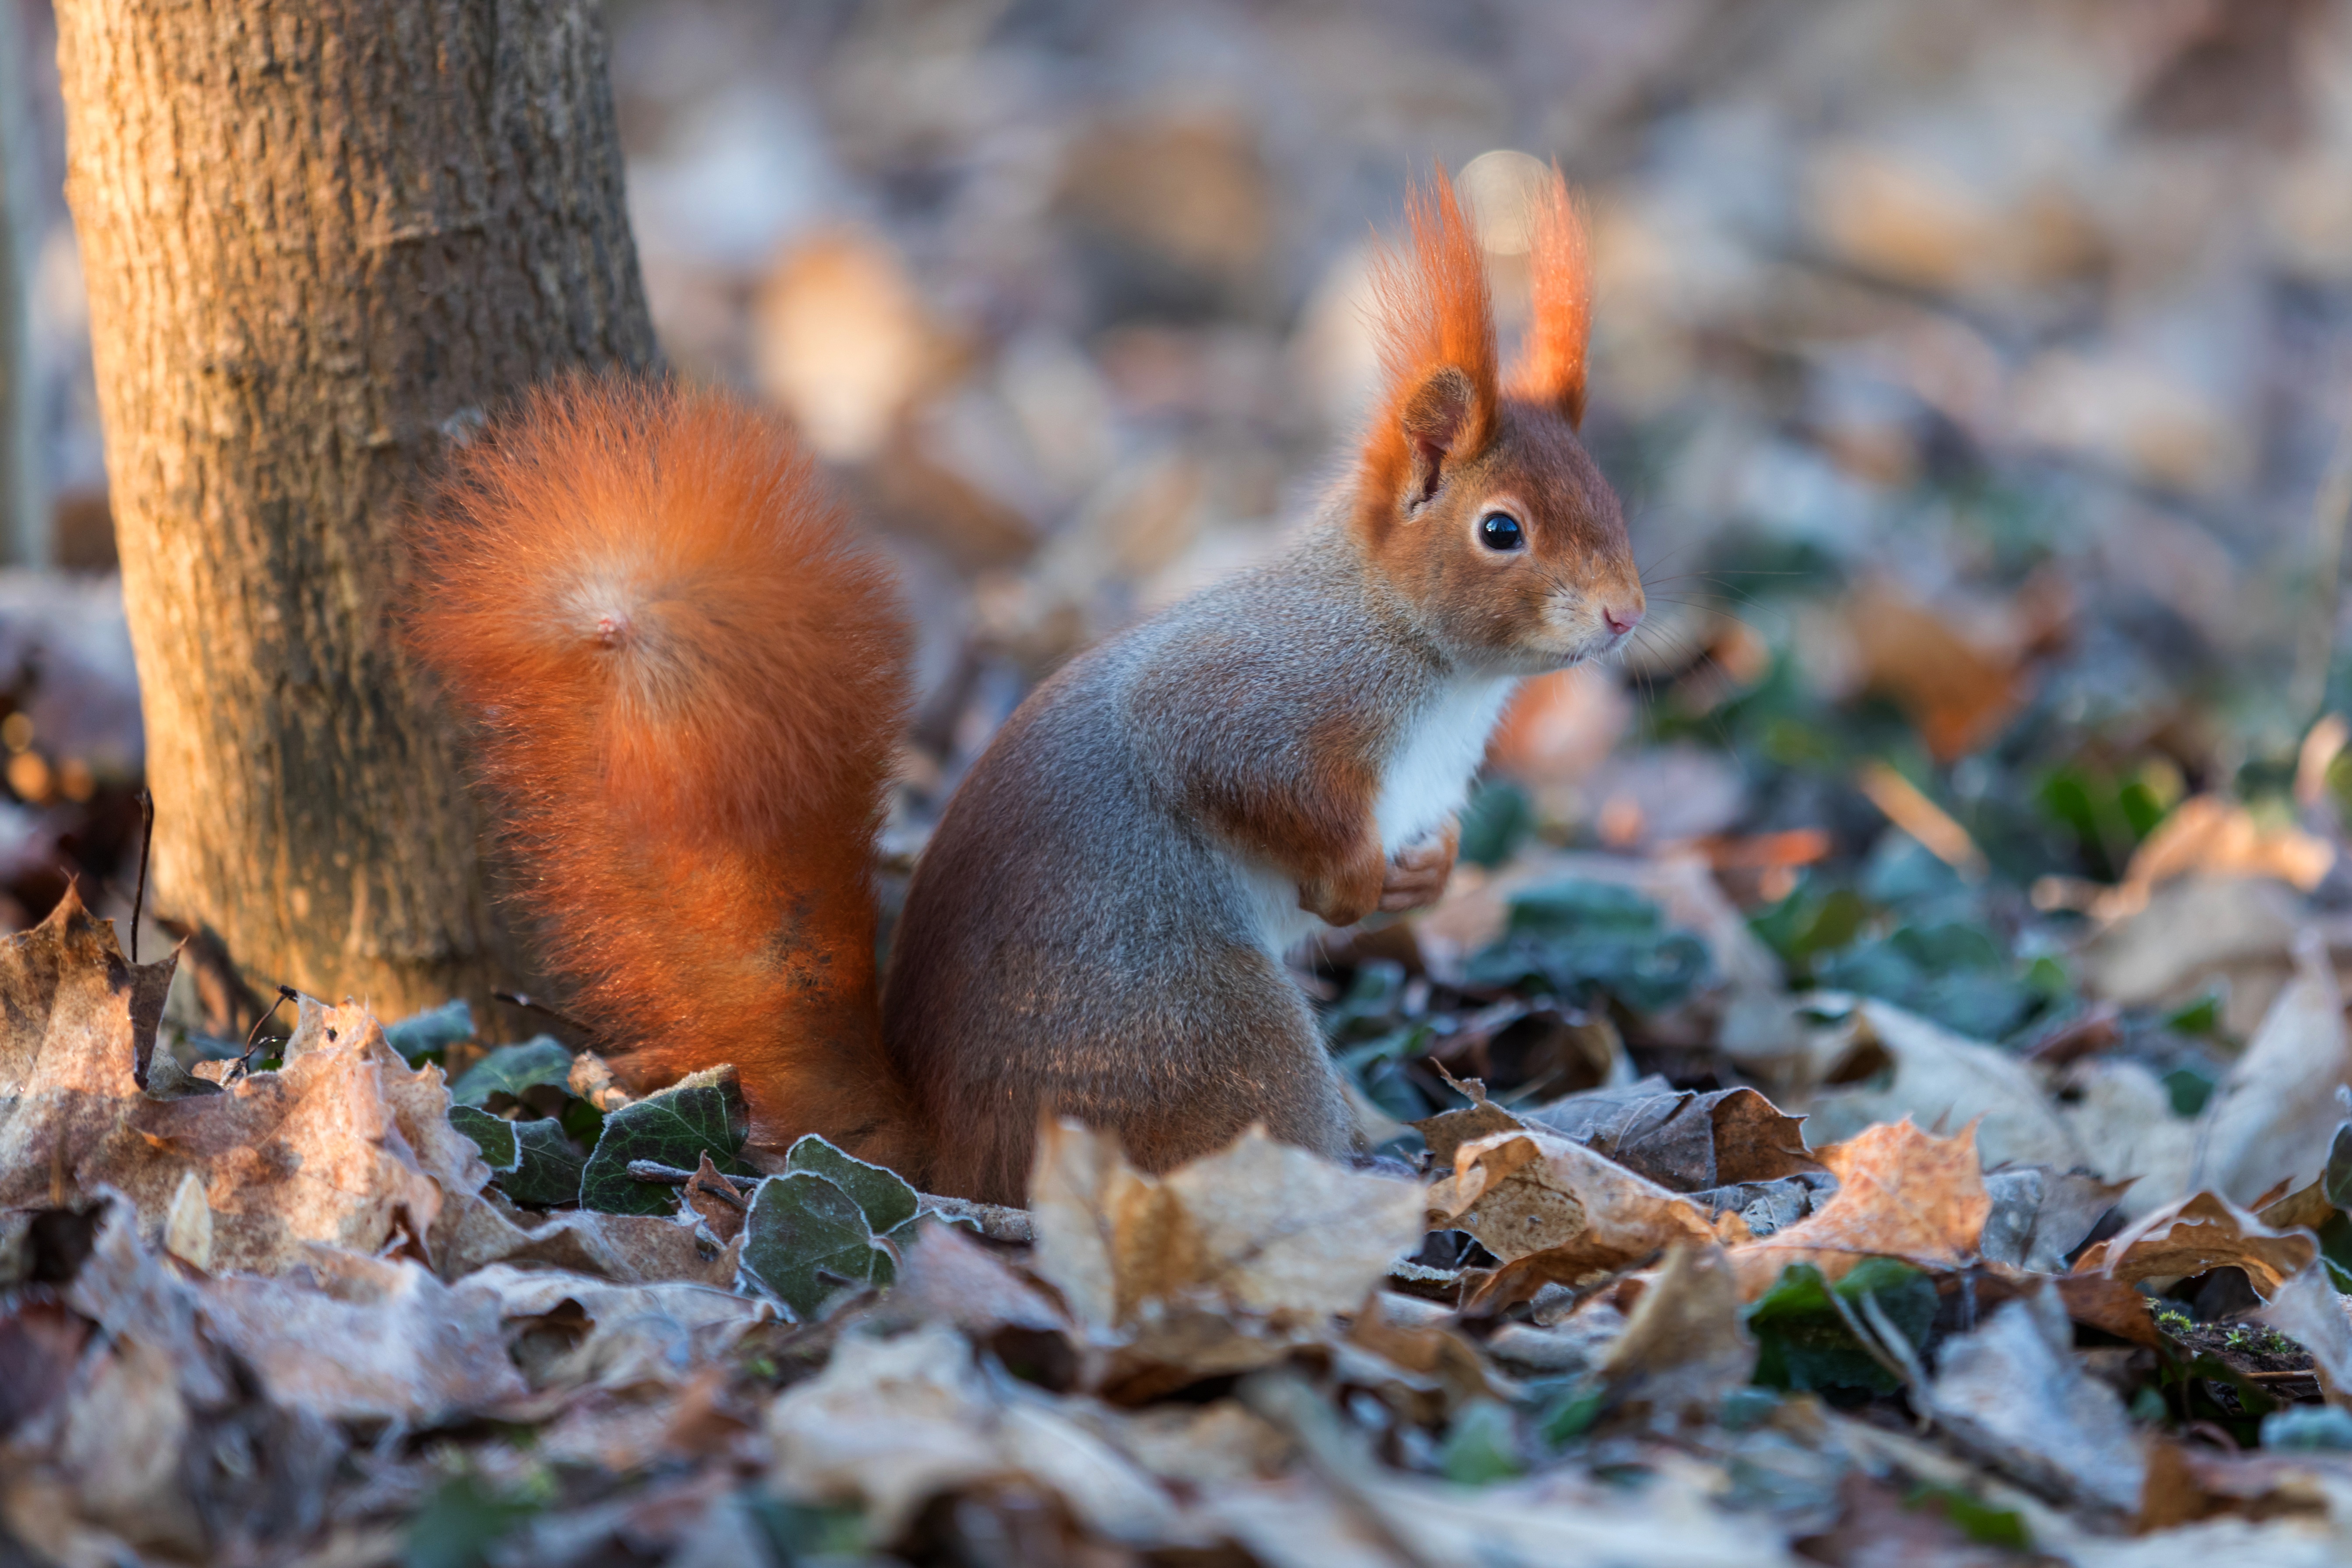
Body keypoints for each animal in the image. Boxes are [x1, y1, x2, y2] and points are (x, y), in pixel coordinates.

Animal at [404, 169, 1646, 1203]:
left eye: (1609, 498)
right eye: (1501, 531)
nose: (1627, 613)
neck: (1428, 663)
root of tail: (952, 1157)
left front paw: (1422, 876)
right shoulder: (1260, 696)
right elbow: (1233, 771)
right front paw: (1347, 880)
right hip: (1212, 1040)